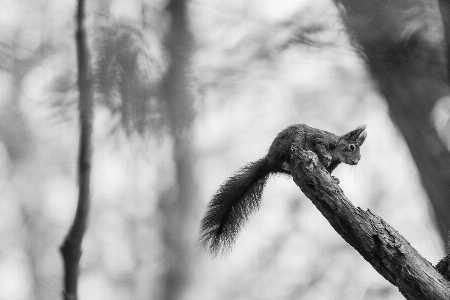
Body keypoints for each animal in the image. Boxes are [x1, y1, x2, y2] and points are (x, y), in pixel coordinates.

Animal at [199, 123, 368, 255]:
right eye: (352, 147)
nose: (357, 161)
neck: (336, 151)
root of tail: (269, 160)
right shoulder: (320, 139)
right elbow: (319, 146)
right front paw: (326, 157)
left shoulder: (332, 166)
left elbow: (329, 172)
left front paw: (334, 179)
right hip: (293, 140)